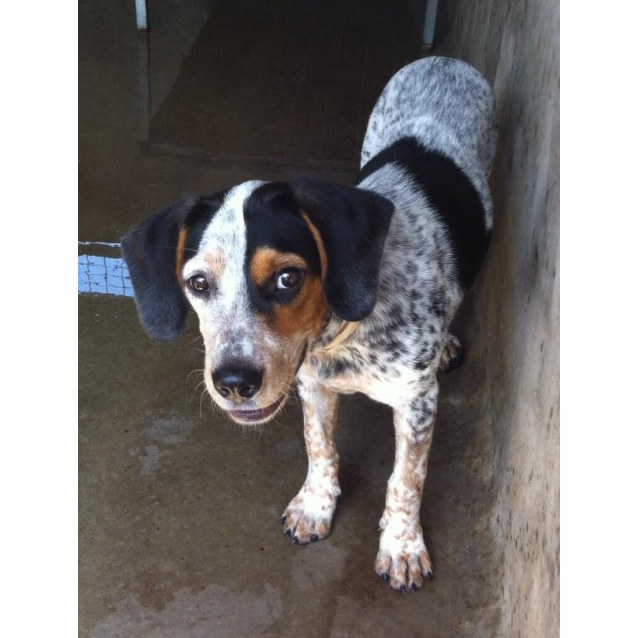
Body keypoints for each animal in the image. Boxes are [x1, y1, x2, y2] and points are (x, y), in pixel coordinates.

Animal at [121, 57, 500, 592]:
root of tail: (445, 60)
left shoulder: (418, 402)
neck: (344, 337)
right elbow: (318, 446)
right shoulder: (311, 384)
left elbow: (407, 480)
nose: (233, 382)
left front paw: (402, 546)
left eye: (288, 278)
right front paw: (316, 506)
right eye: (197, 283)